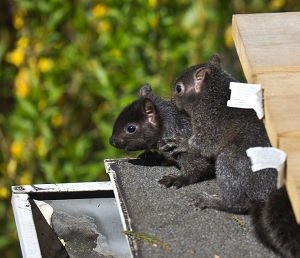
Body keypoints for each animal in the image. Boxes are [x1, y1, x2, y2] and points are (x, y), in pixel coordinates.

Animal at [162, 53, 276, 213]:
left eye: (179, 88)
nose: (171, 100)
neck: (215, 89)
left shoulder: (210, 118)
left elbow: (205, 144)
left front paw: (182, 142)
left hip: (229, 160)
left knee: (236, 202)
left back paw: (208, 201)